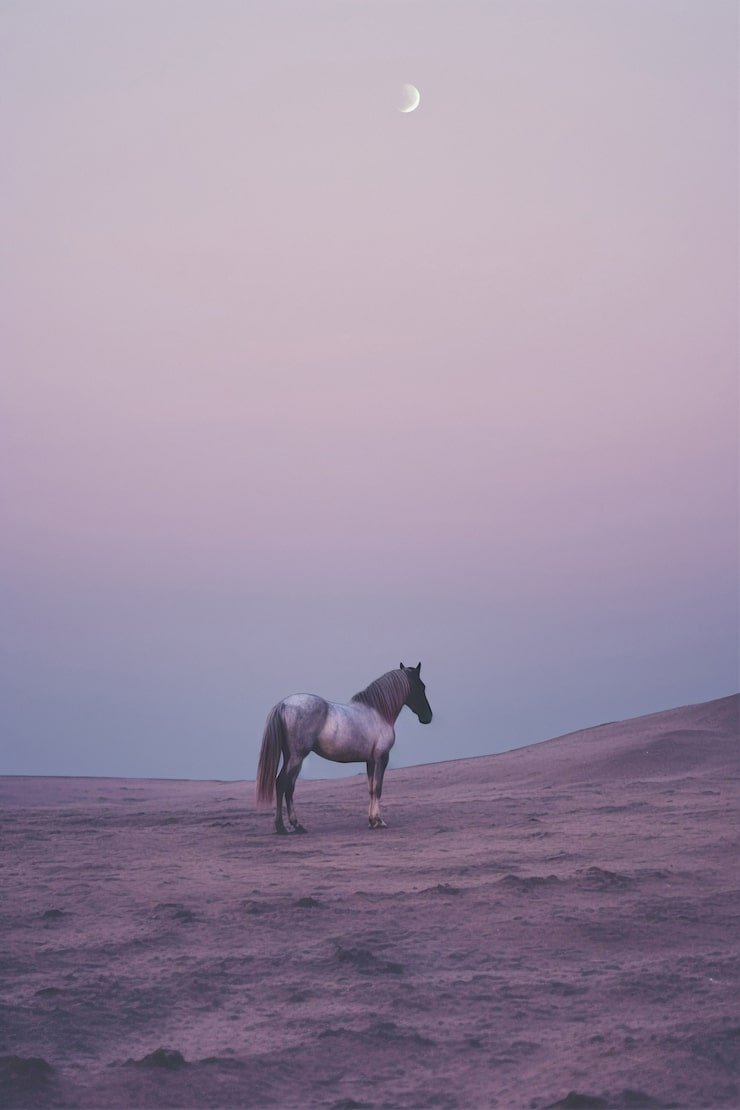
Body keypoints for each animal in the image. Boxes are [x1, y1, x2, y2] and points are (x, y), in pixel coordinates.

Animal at [256, 663, 432, 833]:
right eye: (421, 686)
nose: (428, 717)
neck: (378, 713)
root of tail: (283, 704)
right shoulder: (382, 758)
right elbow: (378, 788)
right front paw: (379, 821)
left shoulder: (370, 761)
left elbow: (371, 789)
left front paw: (371, 821)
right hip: (297, 757)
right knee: (282, 784)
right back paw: (283, 827)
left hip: (291, 757)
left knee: (288, 787)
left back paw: (295, 826)